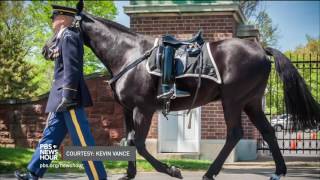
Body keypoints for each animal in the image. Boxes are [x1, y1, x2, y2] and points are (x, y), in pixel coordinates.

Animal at [43, 8, 320, 180]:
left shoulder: (143, 109)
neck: (128, 53)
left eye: (62, 28)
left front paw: (172, 170)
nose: (47, 49)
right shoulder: (127, 109)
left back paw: (210, 172)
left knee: (234, 133)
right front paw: (129, 173)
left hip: (233, 100)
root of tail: (261, 50)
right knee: (268, 131)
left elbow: (139, 143)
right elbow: (130, 141)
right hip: (251, 102)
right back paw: (279, 170)